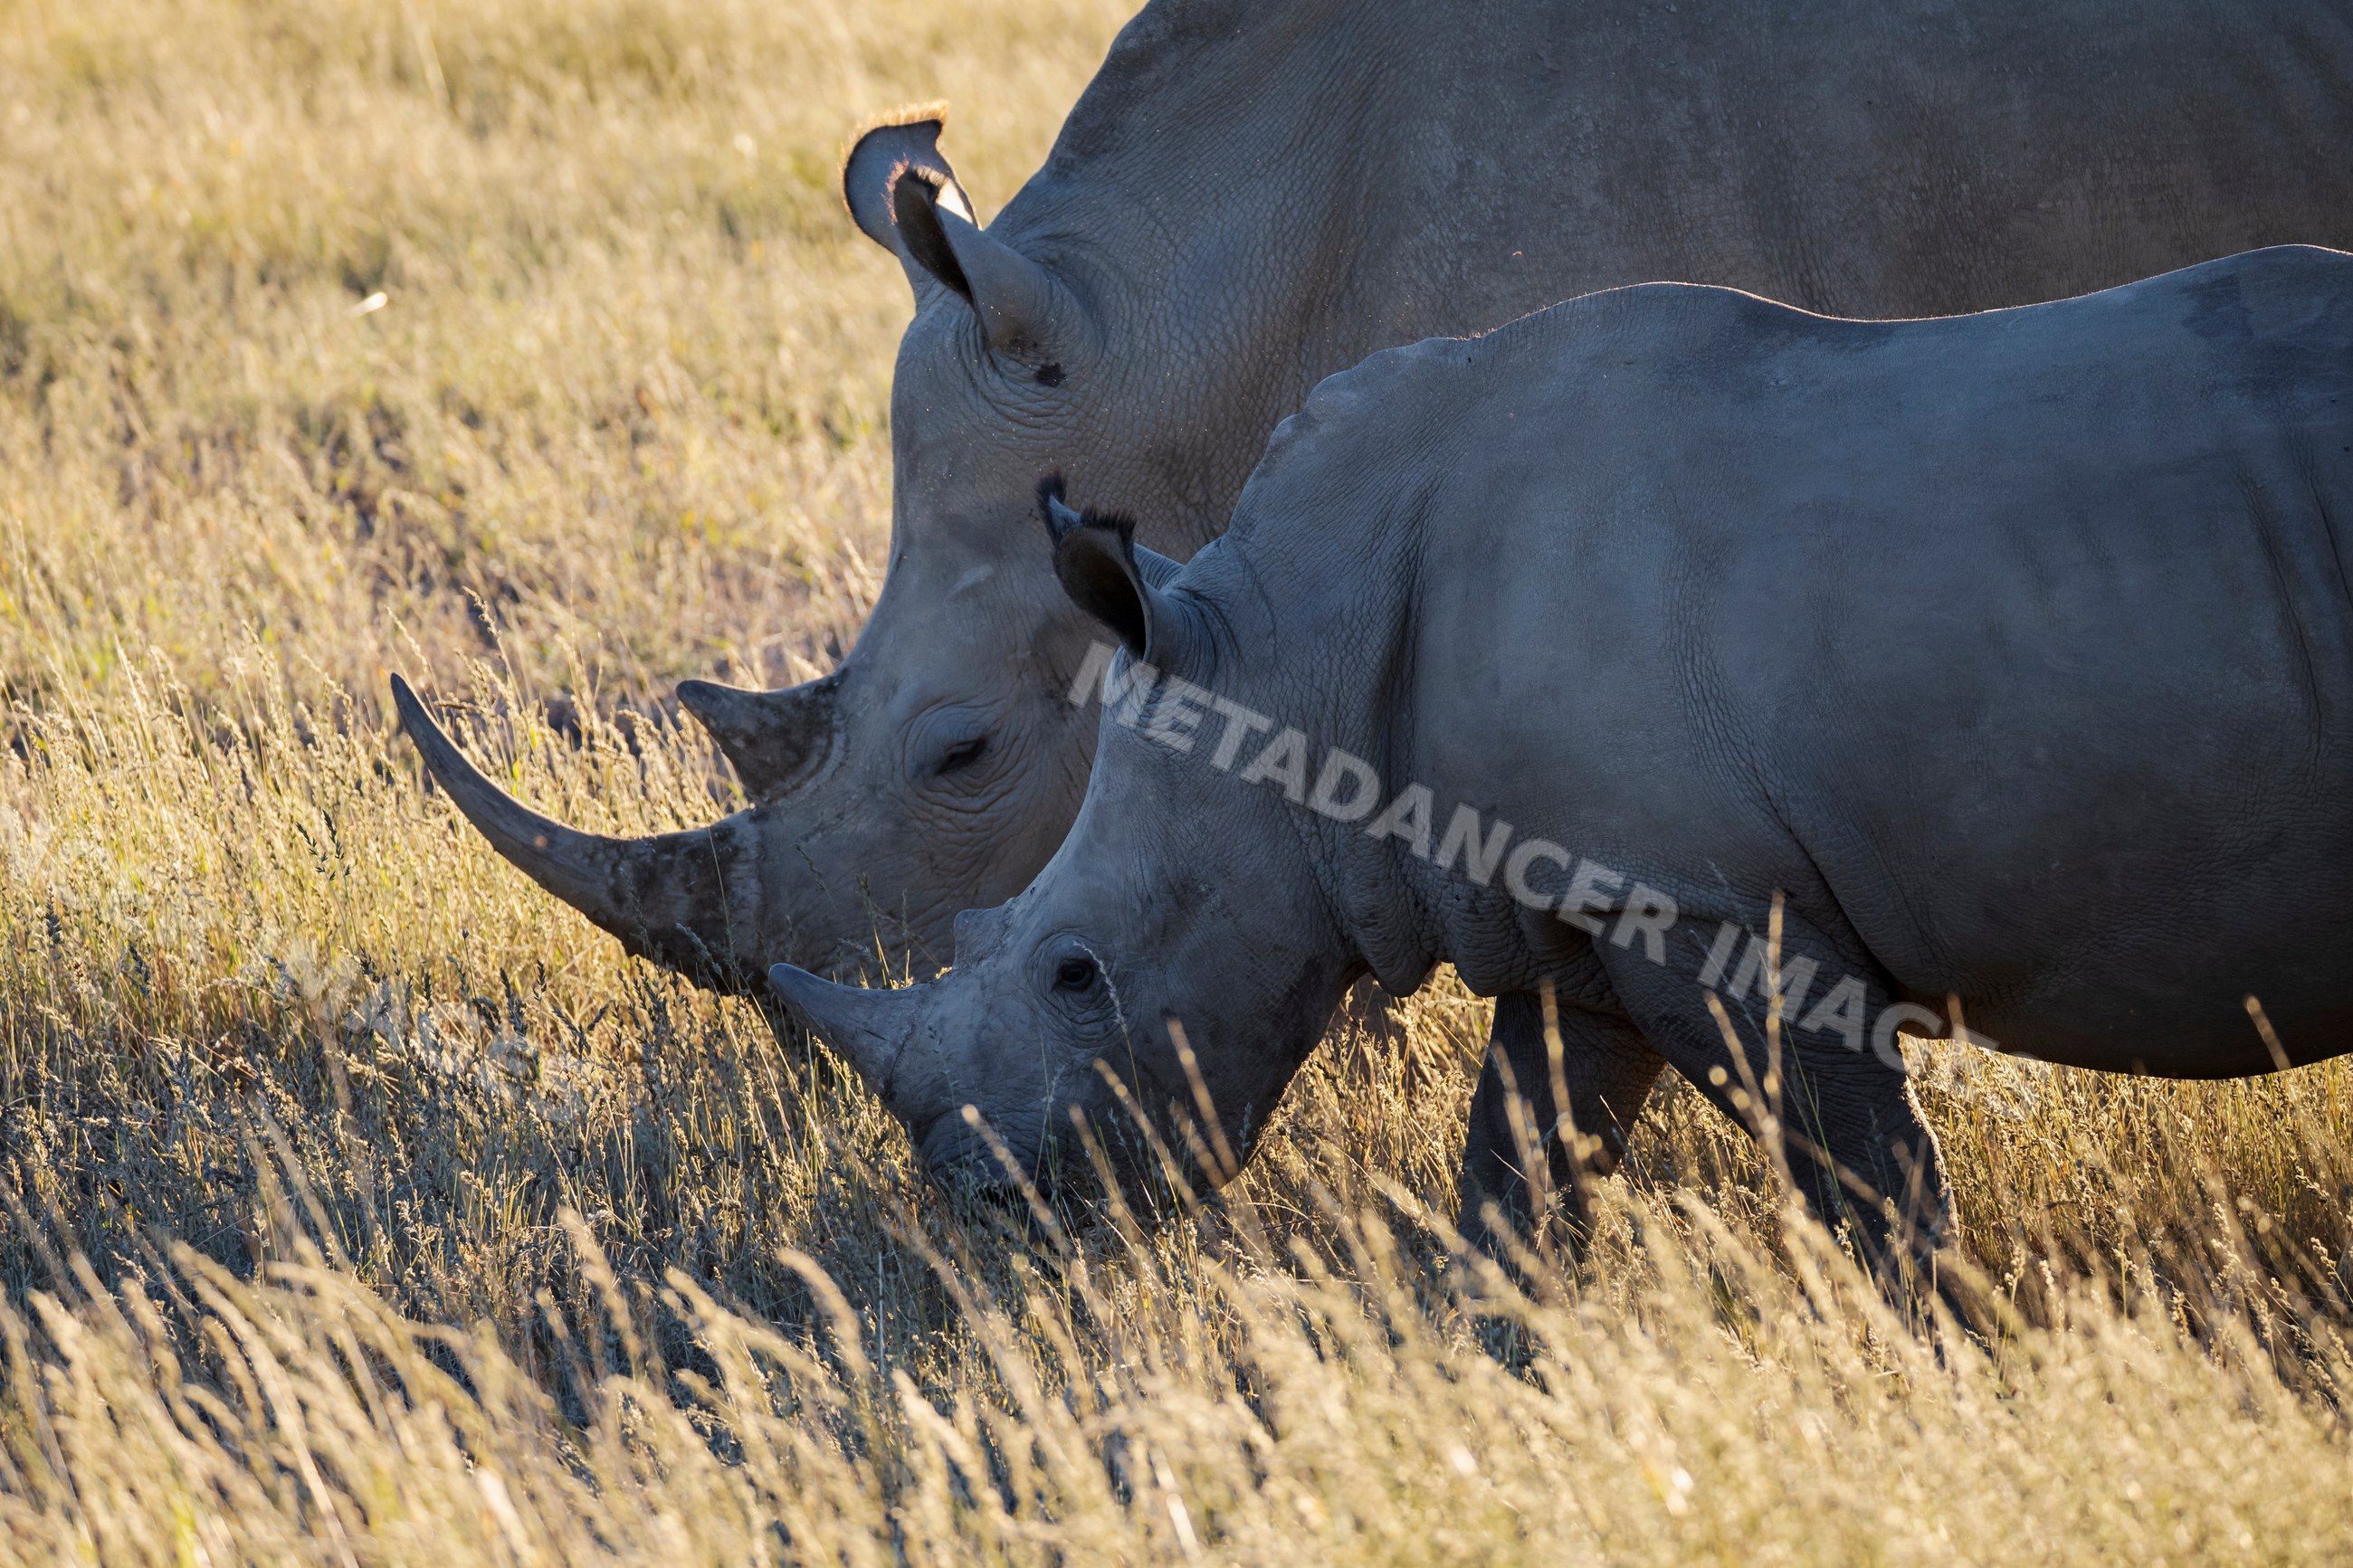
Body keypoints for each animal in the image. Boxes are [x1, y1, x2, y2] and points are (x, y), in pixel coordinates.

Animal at [767, 246, 2353, 1257]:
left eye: (1076, 970)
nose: (991, 1209)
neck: (1289, 656)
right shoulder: (1577, 905)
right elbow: (1514, 1182)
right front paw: (1484, 1386)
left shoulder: (1715, 908)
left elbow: (1872, 1190)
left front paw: (1952, 1372)